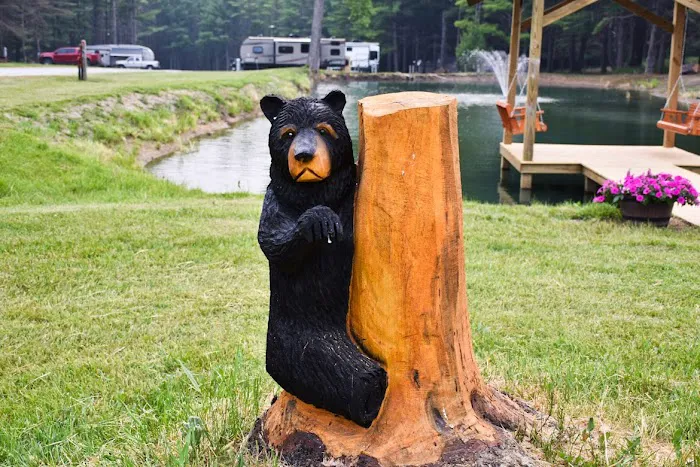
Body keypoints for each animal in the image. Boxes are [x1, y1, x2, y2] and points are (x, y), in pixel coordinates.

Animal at [257, 90, 387, 428]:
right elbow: (273, 242)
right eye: (288, 134)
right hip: (298, 345)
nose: (303, 155)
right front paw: (319, 220)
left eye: (323, 129)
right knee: (354, 377)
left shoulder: (350, 198)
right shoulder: (274, 203)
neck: (312, 192)